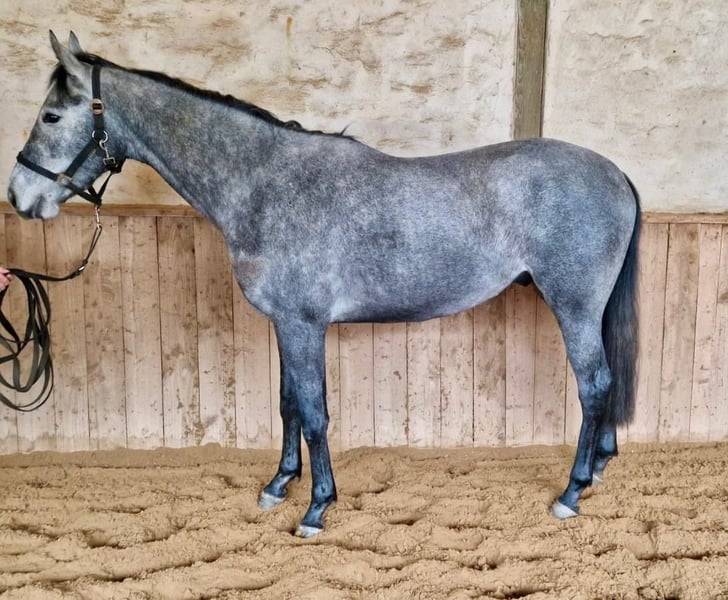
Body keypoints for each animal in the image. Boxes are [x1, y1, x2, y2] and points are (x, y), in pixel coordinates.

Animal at [7, 32, 640, 537]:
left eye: (51, 117)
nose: (19, 197)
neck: (264, 183)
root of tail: (614, 172)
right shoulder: (286, 326)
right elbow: (289, 403)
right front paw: (278, 485)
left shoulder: (303, 325)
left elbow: (313, 412)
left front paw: (315, 509)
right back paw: (597, 469)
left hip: (574, 305)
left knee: (594, 385)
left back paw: (571, 493)